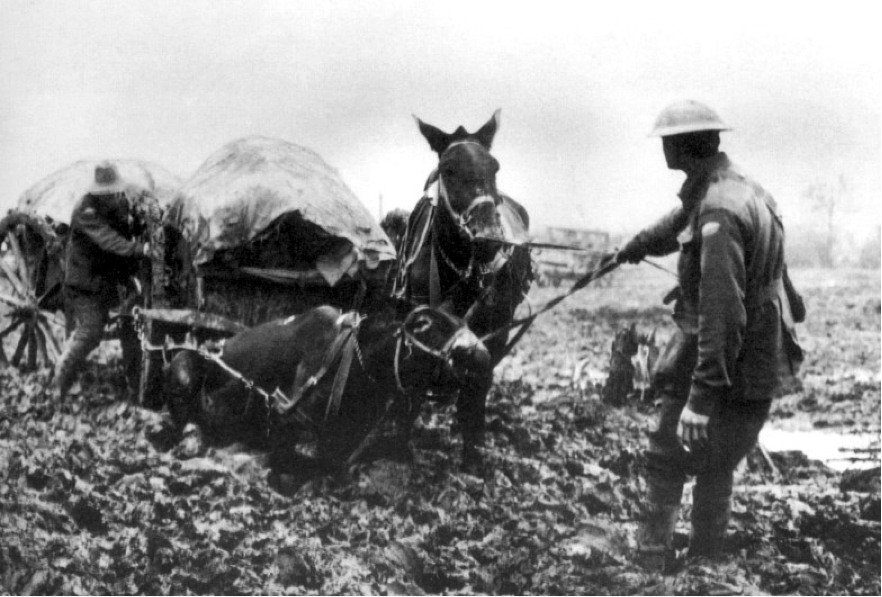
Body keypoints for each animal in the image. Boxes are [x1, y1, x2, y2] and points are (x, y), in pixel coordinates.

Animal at [392, 109, 528, 468]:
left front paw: (472, 456)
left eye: (495, 167)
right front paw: (398, 449)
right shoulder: (418, 321)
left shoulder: (495, 330)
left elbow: (478, 386)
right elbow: (413, 380)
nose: (490, 238)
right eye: (448, 170)